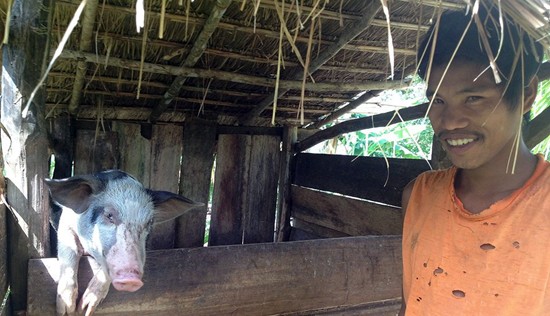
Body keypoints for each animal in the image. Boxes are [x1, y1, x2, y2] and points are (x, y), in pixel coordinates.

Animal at [45, 170, 205, 316]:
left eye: (149, 222)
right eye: (109, 215)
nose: (131, 279)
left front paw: (85, 309)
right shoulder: (66, 224)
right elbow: (68, 251)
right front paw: (68, 310)